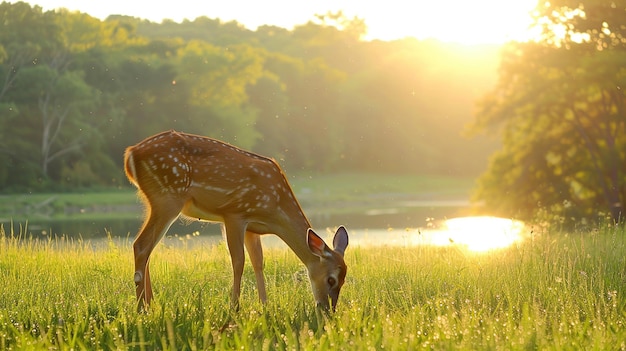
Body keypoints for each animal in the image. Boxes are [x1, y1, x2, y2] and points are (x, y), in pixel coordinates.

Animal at [124, 131, 348, 312]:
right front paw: (234, 307)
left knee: (147, 250)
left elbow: (258, 262)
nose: (328, 309)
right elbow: (239, 261)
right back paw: (142, 307)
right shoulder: (234, 213)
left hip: (155, 201)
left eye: (344, 280)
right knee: (141, 245)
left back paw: (151, 303)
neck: (275, 209)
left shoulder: (252, 228)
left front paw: (264, 305)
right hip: (168, 197)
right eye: (331, 279)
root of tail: (131, 154)